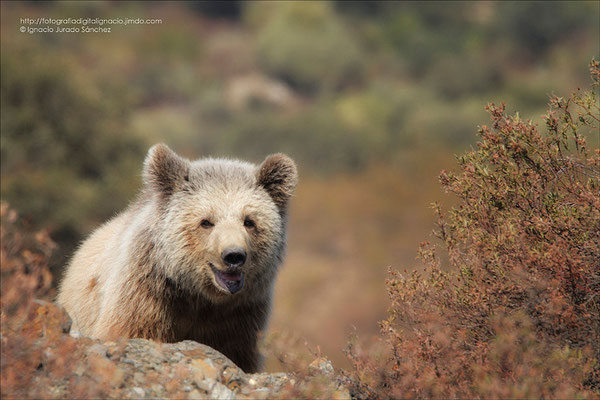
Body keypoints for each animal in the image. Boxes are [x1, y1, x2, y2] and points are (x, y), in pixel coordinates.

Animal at [58, 144, 298, 372]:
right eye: (206, 221)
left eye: (249, 221)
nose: (234, 255)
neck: (199, 298)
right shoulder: (147, 298)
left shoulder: (239, 316)